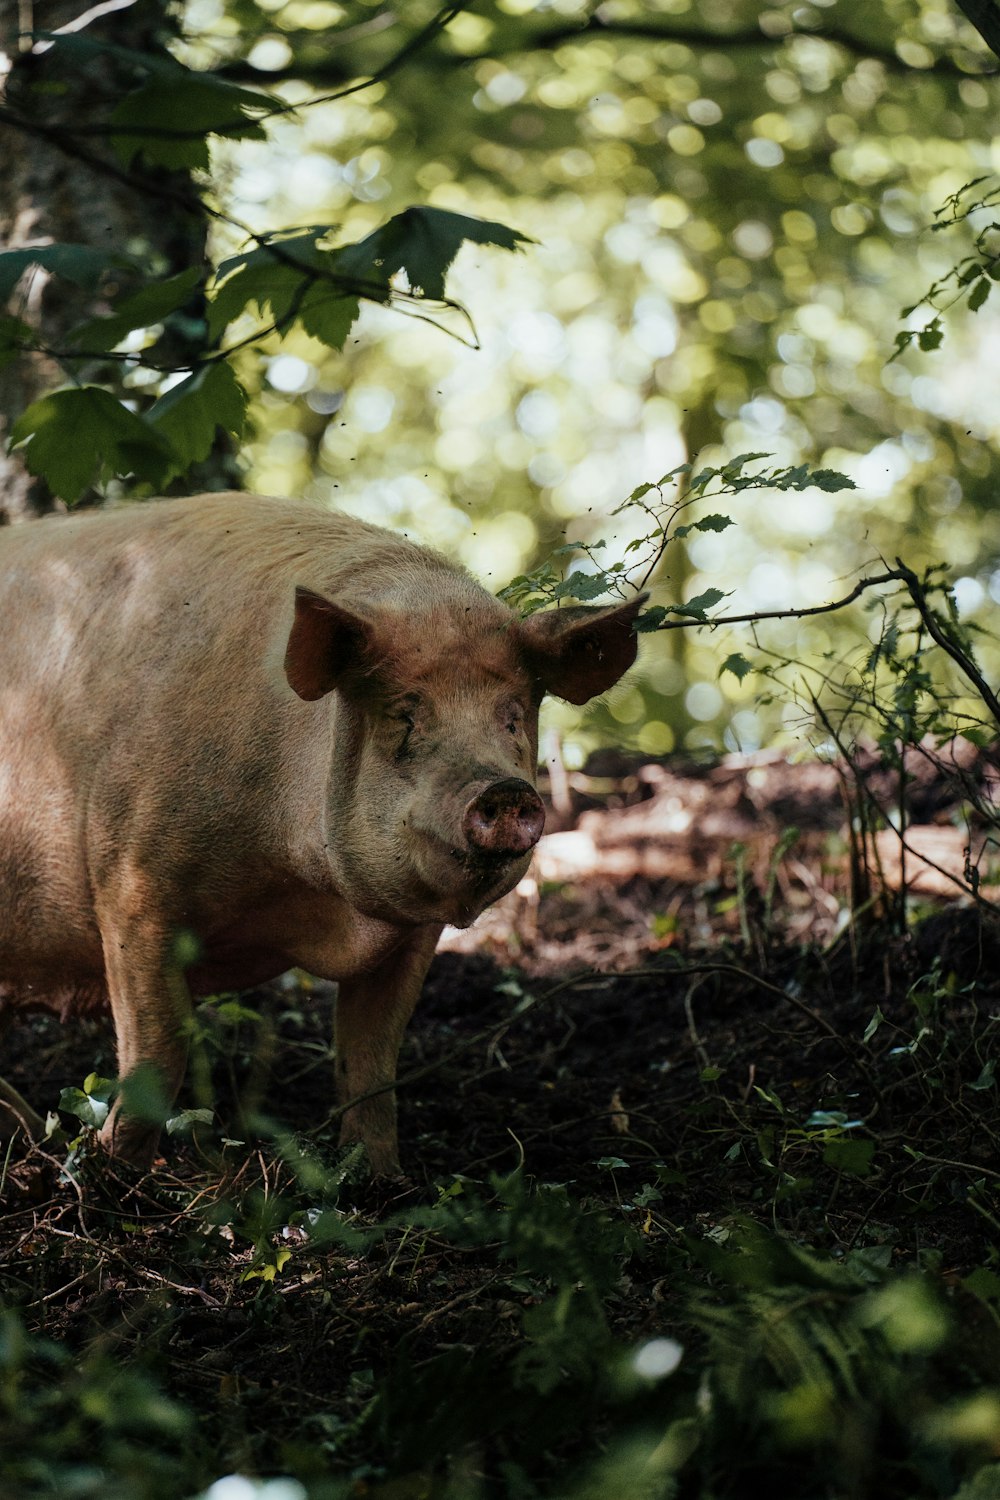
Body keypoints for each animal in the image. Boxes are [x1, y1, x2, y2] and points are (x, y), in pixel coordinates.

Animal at [0, 492, 644, 1170]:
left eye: (514, 717)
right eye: (404, 716)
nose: (502, 789)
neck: (316, 897)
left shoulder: (411, 933)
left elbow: (372, 1060)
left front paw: (379, 1178)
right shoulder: (131, 883)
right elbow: (159, 1049)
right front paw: (114, 1171)